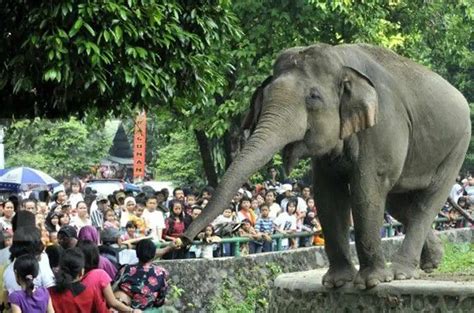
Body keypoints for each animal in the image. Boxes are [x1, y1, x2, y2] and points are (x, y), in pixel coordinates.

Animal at [182, 42, 470, 288]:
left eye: (313, 97)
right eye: (266, 96)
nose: (184, 239)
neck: (340, 58)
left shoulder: (383, 126)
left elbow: (366, 189)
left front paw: (371, 282)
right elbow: (327, 195)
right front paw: (336, 283)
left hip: (457, 146)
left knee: (425, 202)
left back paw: (402, 272)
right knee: (399, 204)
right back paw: (431, 262)